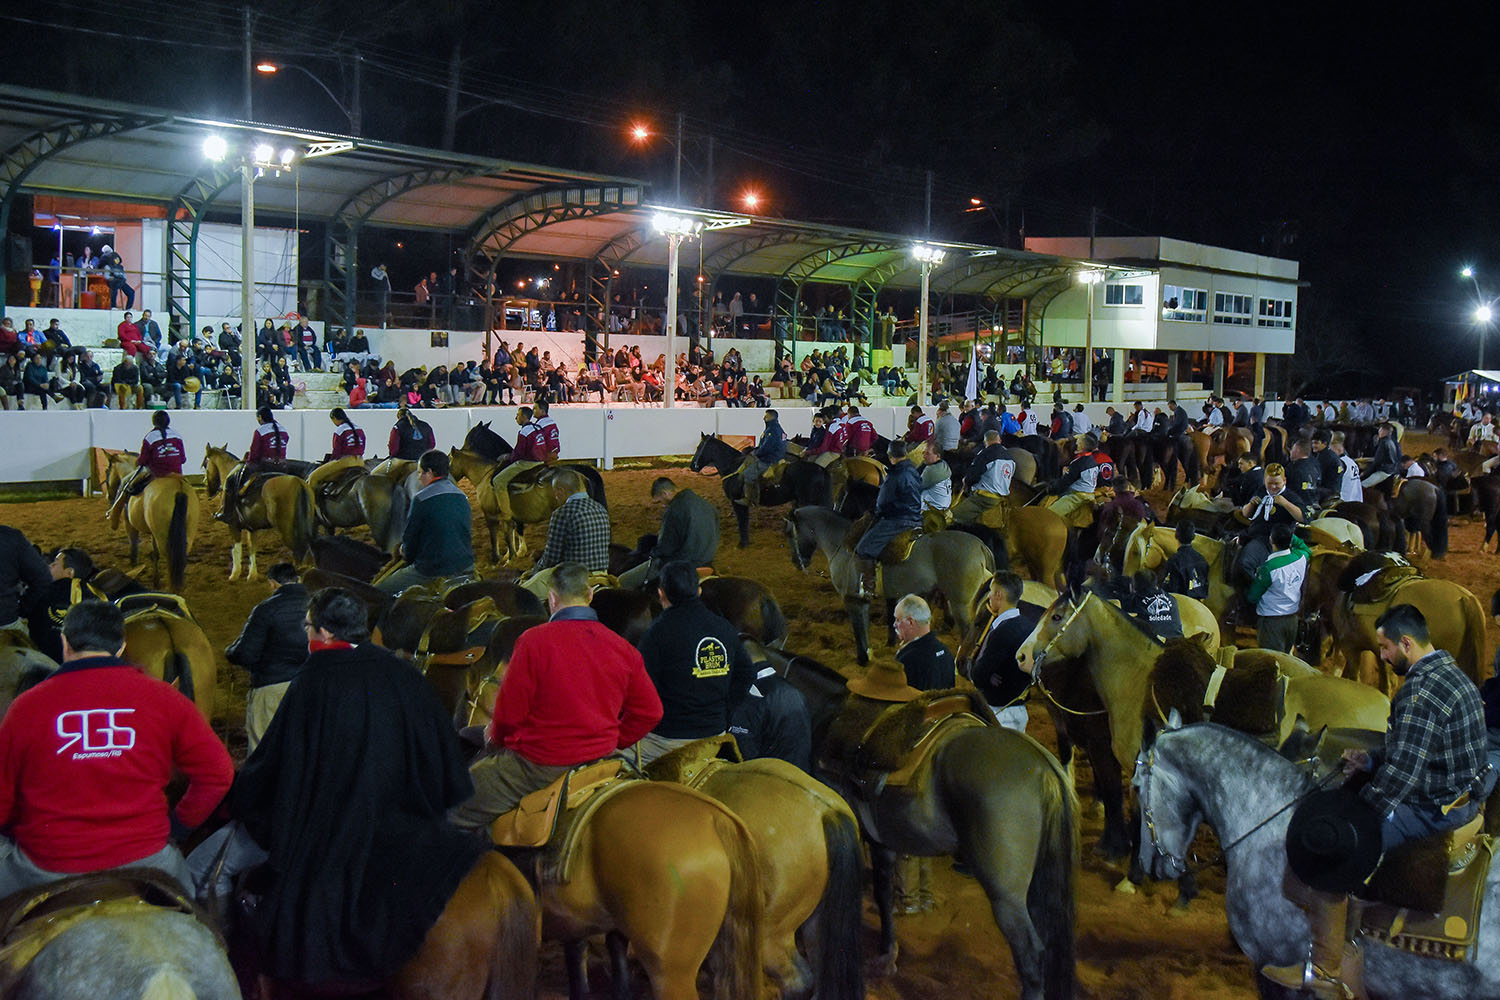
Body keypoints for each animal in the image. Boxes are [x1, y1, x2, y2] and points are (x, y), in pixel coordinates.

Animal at [104, 455, 199, 593]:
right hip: (187, 532)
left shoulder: (130, 525)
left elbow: (134, 548)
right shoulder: (154, 532)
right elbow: (155, 554)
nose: (108, 496)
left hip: (164, 537)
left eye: (107, 471)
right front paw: (156, 582)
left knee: (170, 558)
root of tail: (179, 487)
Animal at [201, 443, 315, 578]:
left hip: (288, 531)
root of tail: (299, 484)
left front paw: (234, 575)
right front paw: (252, 575)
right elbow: (252, 548)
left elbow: (236, 548)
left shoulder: (233, 525)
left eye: (205, 464)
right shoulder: (252, 528)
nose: (208, 489)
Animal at [690, 434, 834, 548]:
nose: (692, 466)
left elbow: (742, 521)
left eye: (698, 447)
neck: (733, 467)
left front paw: (742, 543)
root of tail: (821, 469)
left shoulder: (737, 502)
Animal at [786, 509, 996, 665]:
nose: (796, 562)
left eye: (788, 532)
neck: (841, 542)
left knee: (967, 633)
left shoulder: (852, 600)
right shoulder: (865, 601)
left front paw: (862, 659)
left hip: (961, 604)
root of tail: (980, 545)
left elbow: (858, 630)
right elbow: (865, 628)